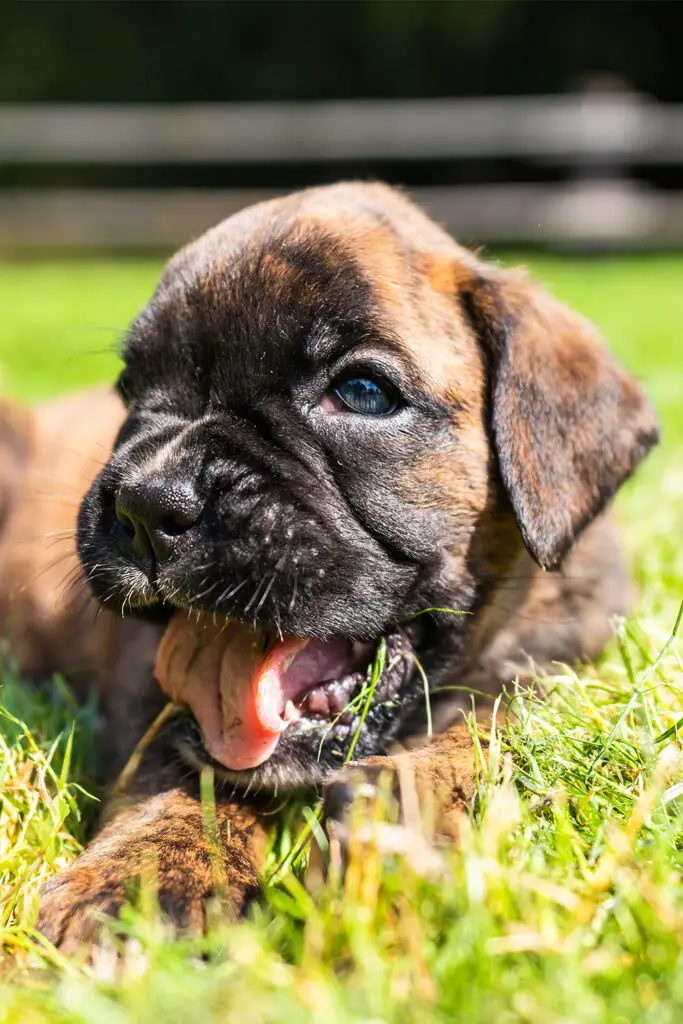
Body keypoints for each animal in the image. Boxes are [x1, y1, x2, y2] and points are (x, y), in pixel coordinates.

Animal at [0, 180, 655, 946]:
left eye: (364, 392)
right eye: (131, 392)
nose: (146, 502)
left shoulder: (562, 664)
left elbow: (493, 732)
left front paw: (396, 809)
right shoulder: (148, 677)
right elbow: (177, 763)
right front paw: (138, 872)